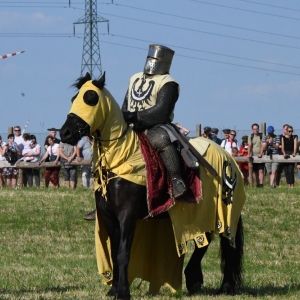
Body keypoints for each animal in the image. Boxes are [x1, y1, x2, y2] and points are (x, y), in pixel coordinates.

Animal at [59, 72, 245, 300]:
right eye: (74, 98)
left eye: (91, 98)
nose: (65, 133)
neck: (122, 157)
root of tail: (229, 158)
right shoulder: (108, 215)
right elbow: (114, 251)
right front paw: (114, 289)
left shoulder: (127, 215)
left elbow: (123, 253)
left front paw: (123, 292)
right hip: (203, 212)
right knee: (206, 241)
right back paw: (193, 278)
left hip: (223, 211)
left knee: (227, 242)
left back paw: (226, 286)